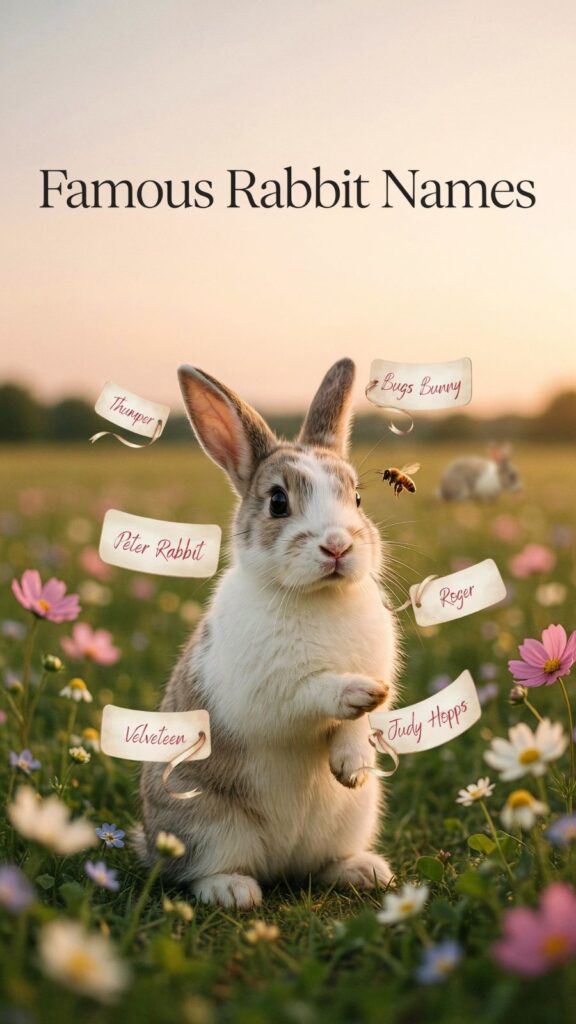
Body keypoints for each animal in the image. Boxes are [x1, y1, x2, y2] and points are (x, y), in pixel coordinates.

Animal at [136, 358, 400, 909]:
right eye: (278, 502)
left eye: (357, 497)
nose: (338, 546)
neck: (317, 596)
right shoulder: (264, 691)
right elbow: (305, 693)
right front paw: (353, 692)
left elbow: (360, 725)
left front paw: (352, 764)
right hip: (207, 825)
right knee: (200, 870)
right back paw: (234, 891)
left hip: (352, 817)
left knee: (322, 864)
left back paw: (364, 871)